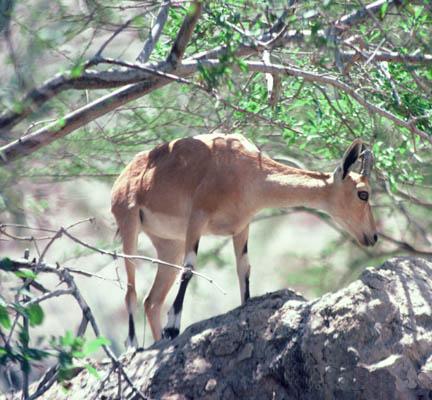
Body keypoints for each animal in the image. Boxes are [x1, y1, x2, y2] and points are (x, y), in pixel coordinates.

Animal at [111, 133, 377, 346]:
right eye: (363, 193)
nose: (372, 236)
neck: (245, 170)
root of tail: (121, 178)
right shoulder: (197, 217)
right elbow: (189, 269)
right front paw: (173, 327)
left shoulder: (241, 228)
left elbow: (244, 269)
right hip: (129, 224)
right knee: (131, 292)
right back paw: (134, 345)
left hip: (169, 244)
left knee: (152, 301)